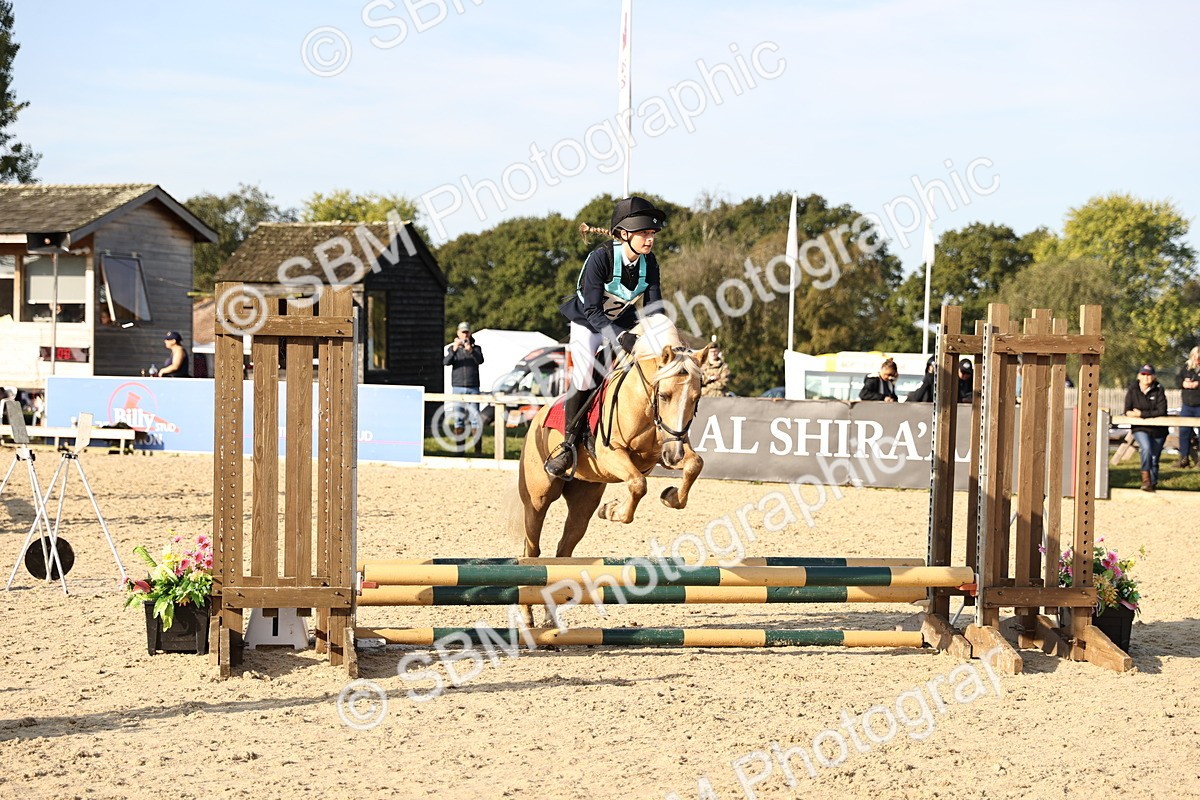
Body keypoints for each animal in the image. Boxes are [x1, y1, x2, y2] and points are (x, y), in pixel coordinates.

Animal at [516, 314, 712, 560]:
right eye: (664, 396)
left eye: (696, 398)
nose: (674, 456)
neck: (644, 402)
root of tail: (538, 417)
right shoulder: (611, 452)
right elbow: (638, 484)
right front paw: (613, 511)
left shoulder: (665, 448)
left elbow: (695, 464)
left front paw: (670, 496)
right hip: (538, 496)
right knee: (532, 543)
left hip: (585, 496)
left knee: (566, 544)